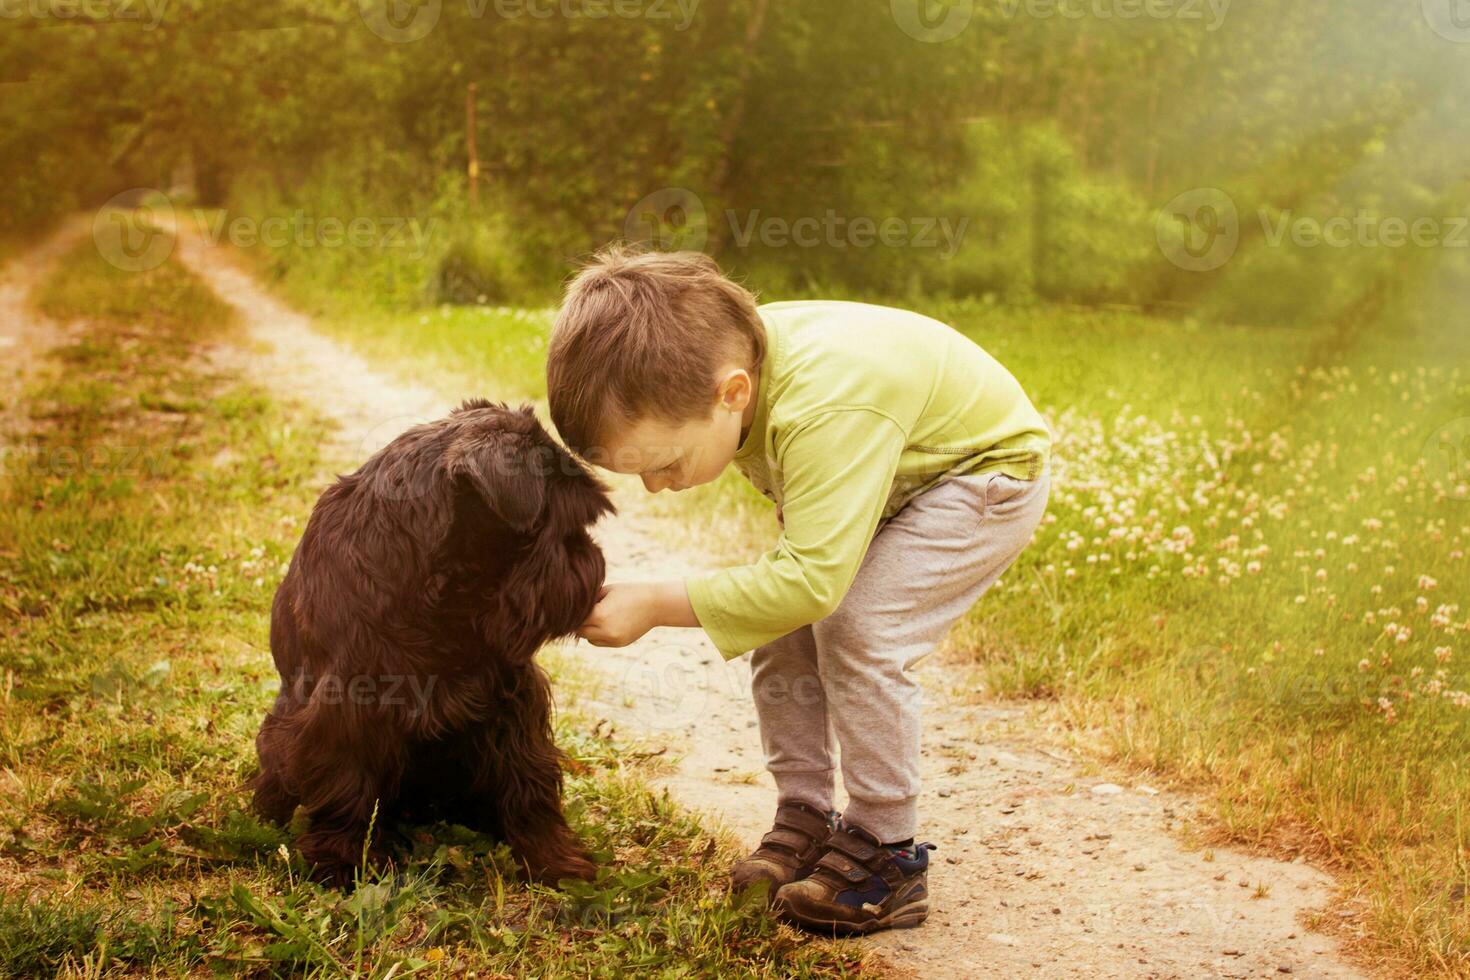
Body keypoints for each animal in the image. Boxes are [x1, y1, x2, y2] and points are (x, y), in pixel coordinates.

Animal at [251, 402, 614, 887]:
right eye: (566, 525)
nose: (594, 560)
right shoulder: (345, 706)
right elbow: (346, 783)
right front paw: (342, 859)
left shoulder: (512, 698)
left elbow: (527, 780)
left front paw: (552, 857)